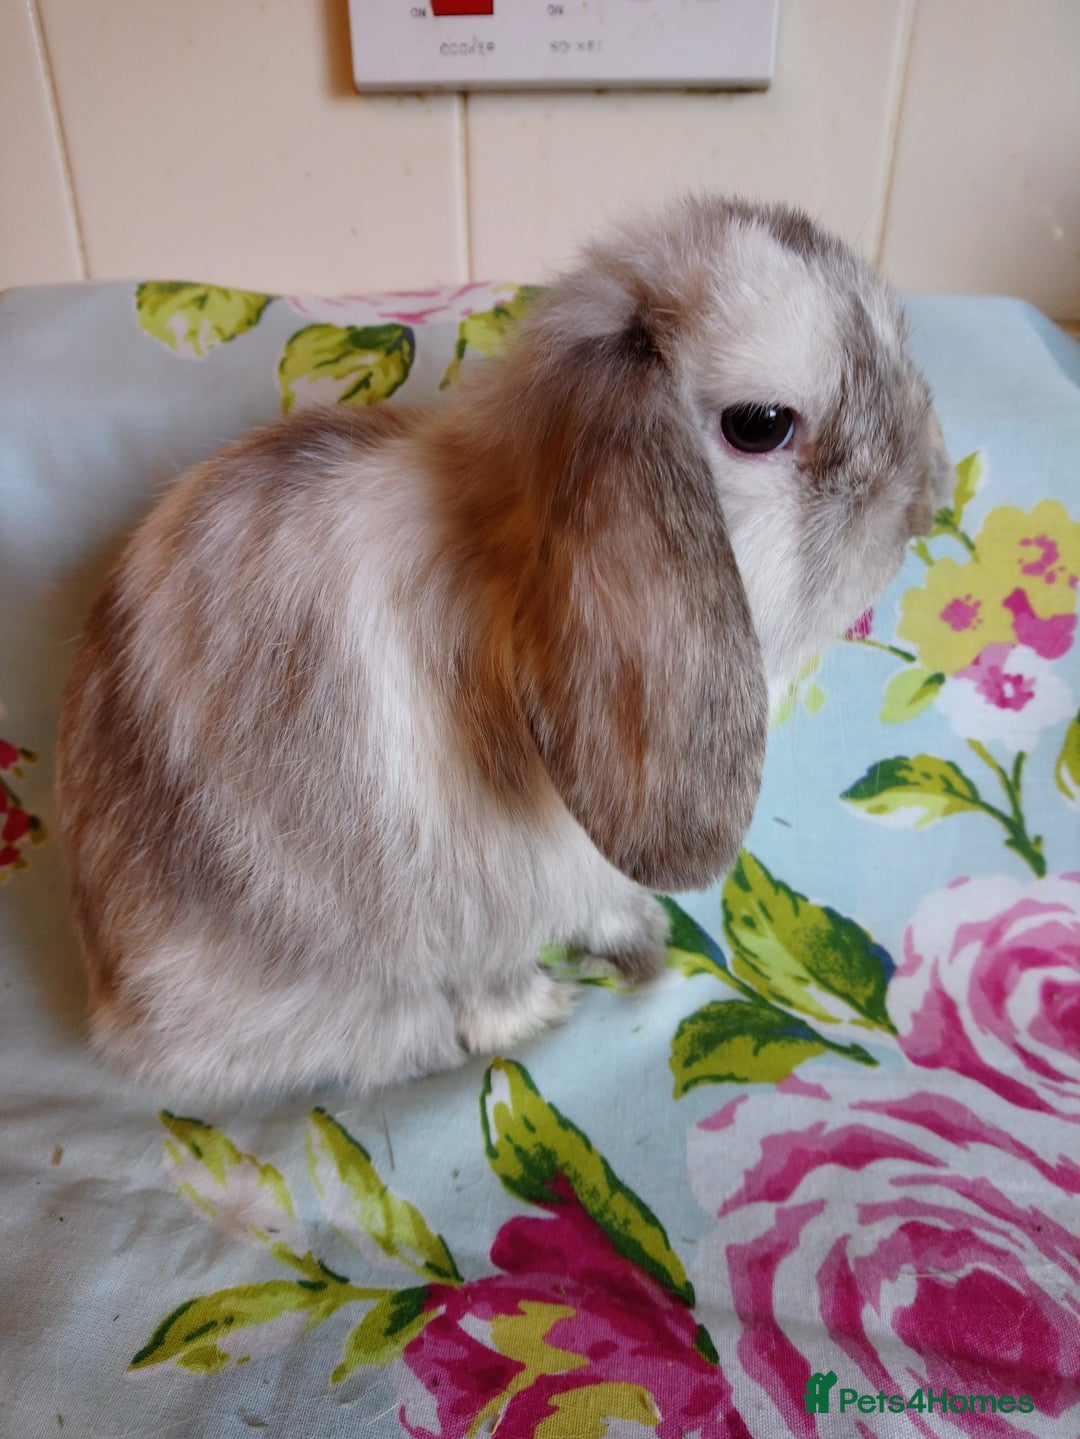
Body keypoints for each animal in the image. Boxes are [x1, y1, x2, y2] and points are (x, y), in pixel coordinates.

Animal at [56, 194, 953, 1098]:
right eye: (761, 425)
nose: (927, 502)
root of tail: (108, 988)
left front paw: (640, 937)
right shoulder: (471, 903)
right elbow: (494, 977)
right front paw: (586, 987)